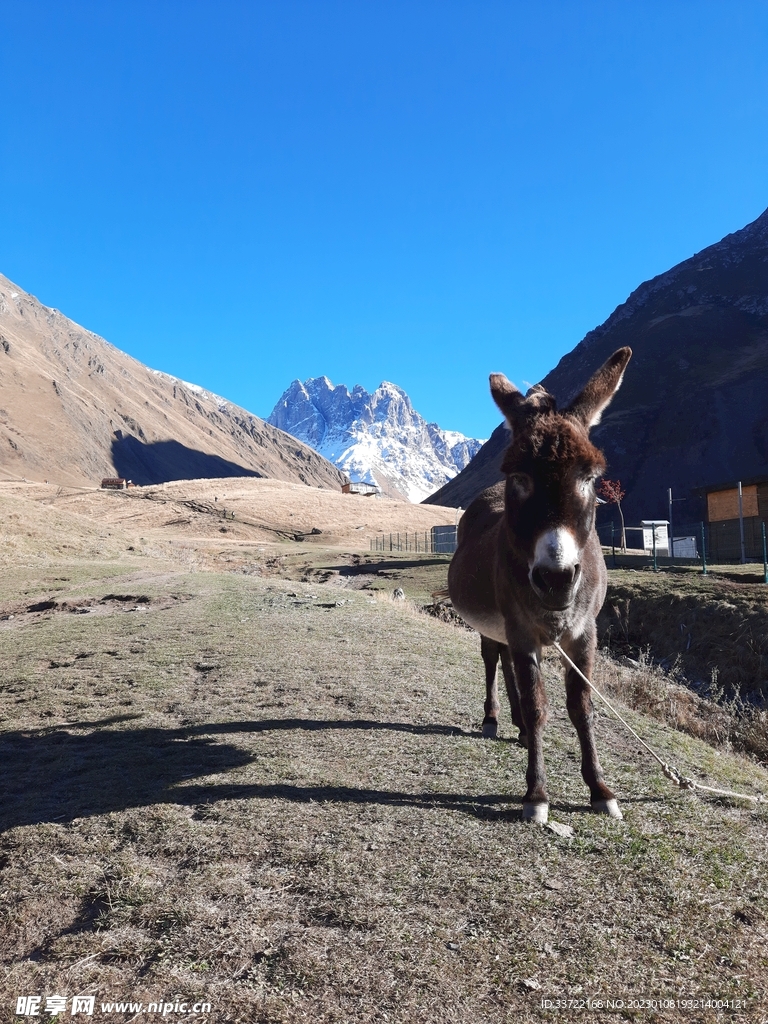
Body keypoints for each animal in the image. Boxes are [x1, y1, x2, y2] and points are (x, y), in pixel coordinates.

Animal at [448, 347, 632, 824]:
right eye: (520, 477)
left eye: (590, 477)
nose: (555, 579)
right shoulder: (522, 629)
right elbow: (538, 706)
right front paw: (536, 795)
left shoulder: (585, 633)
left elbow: (581, 707)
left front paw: (600, 789)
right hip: (495, 623)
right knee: (493, 660)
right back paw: (496, 719)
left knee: (507, 665)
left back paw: (516, 728)